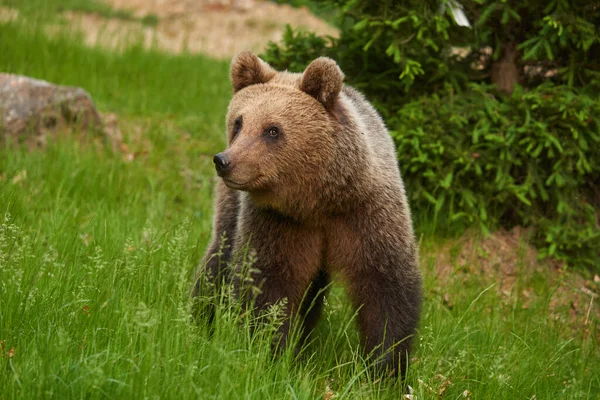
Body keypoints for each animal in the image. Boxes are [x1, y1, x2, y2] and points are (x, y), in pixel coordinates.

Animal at [192, 50, 422, 378]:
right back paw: (200, 319)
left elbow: (386, 288)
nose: (225, 161)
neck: (318, 203)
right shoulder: (277, 222)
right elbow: (266, 284)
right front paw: (276, 354)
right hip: (232, 207)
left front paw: (384, 369)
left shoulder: (367, 214)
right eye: (238, 122)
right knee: (219, 257)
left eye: (272, 129)